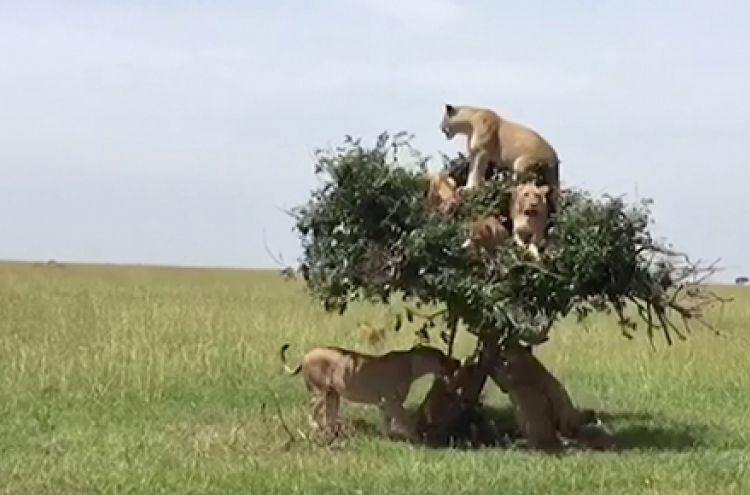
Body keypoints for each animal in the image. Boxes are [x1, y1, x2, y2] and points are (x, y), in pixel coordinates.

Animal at [280, 342, 462, 444]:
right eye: (441, 357)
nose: (458, 362)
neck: (413, 364)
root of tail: (306, 355)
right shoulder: (392, 401)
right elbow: (406, 419)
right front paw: (416, 439)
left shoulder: (385, 403)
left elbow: (388, 421)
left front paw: (387, 439)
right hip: (321, 391)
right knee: (313, 408)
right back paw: (316, 427)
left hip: (333, 394)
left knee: (328, 414)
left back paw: (333, 433)